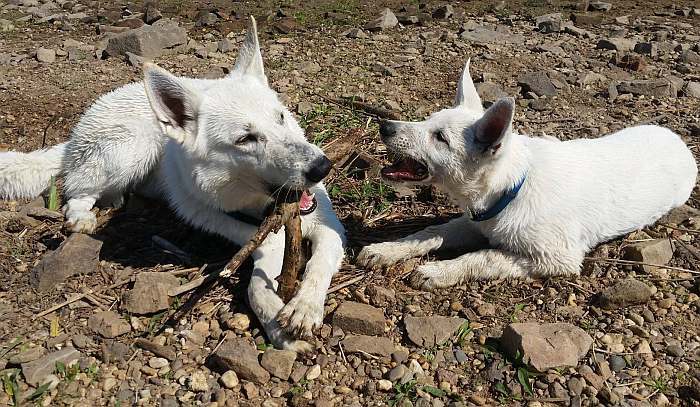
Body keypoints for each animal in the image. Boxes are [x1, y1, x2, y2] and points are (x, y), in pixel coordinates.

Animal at [0, 17, 344, 352]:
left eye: (281, 117)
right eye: (245, 139)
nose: (322, 167)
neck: (258, 207)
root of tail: (74, 136)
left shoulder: (331, 229)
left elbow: (317, 267)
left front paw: (303, 308)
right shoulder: (229, 224)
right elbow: (258, 281)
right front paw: (276, 323)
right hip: (132, 148)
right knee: (77, 189)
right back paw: (82, 216)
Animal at [358, 59, 696, 290]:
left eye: (440, 137)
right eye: (428, 120)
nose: (384, 126)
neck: (512, 188)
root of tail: (678, 140)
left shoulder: (555, 257)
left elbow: (483, 256)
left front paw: (438, 271)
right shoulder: (472, 223)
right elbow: (429, 233)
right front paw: (386, 250)